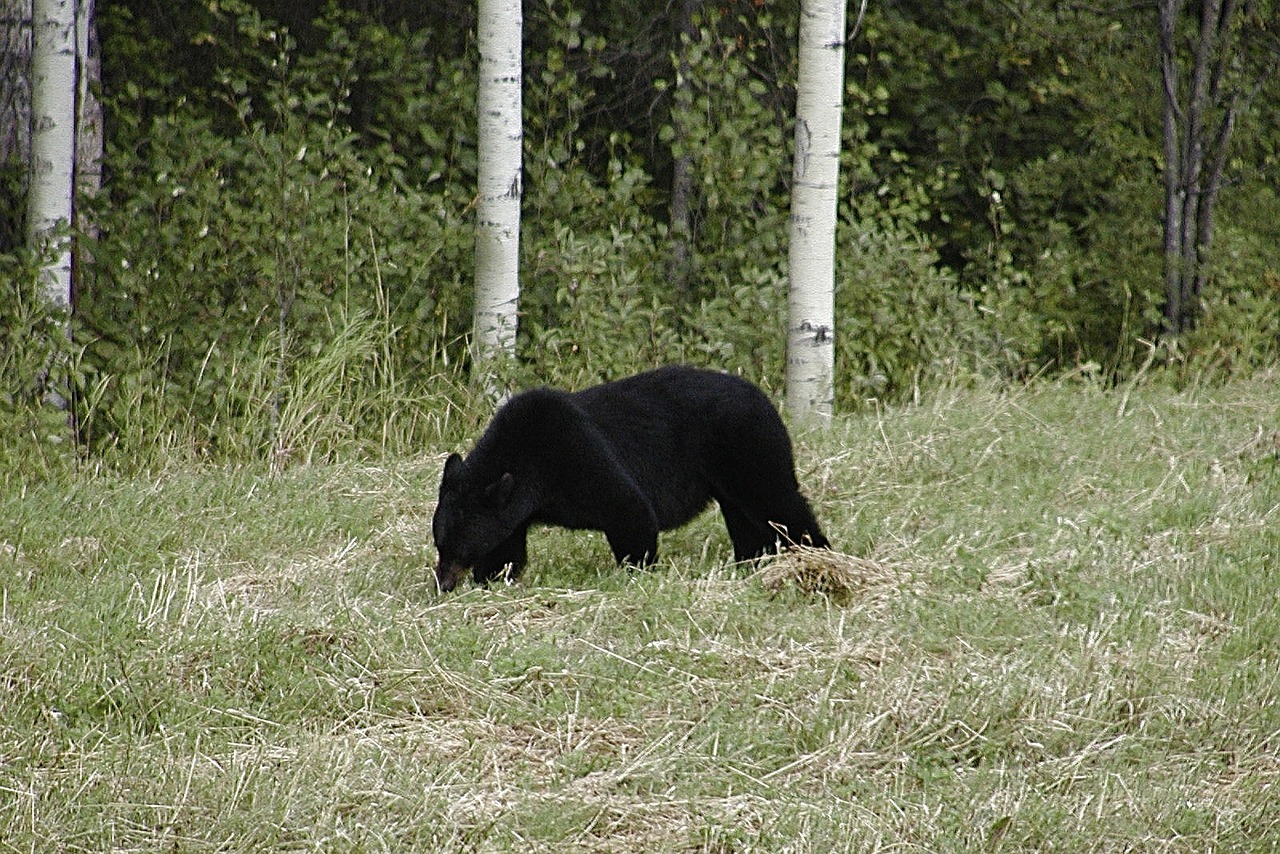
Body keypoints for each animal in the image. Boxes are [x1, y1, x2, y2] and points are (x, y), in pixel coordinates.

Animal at [430, 363, 829, 591]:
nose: (443, 584)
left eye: (460, 547)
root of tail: (766, 400)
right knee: (744, 515)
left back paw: (816, 556)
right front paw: (494, 576)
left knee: (777, 501)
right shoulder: (513, 507)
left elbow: (630, 509)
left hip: (746, 446)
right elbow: (506, 545)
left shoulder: (579, 454)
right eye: (440, 543)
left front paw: (638, 570)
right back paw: (752, 560)